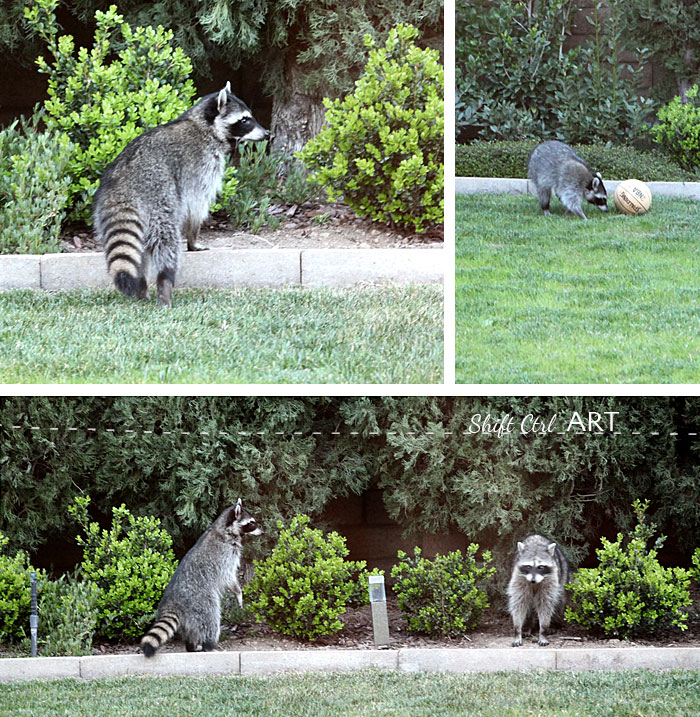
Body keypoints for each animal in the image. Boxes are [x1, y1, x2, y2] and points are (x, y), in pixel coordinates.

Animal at [93, 82, 268, 306]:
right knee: (166, 241)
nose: (266, 134)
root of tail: (123, 186)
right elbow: (196, 206)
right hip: (158, 195)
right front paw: (193, 240)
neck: (205, 125)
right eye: (244, 120)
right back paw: (165, 283)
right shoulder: (200, 164)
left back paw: (142, 287)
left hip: (106, 210)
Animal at [139, 500, 262, 656]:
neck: (224, 528)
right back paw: (209, 645)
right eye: (252, 523)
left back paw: (191, 646)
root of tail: (172, 600)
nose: (262, 531)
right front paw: (238, 591)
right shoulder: (225, 555)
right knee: (210, 620)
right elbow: (228, 576)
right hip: (200, 601)